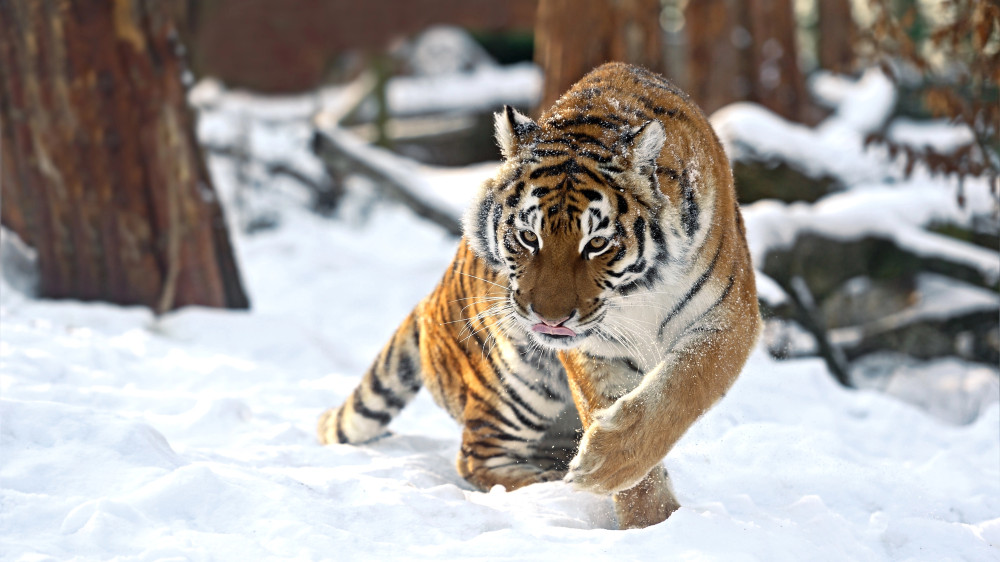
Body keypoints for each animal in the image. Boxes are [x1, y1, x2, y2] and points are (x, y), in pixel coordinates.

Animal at [317, 62, 760, 529]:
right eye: (528, 237)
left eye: (596, 244)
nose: (549, 319)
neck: (639, 290)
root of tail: (428, 303)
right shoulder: (593, 349)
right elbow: (614, 413)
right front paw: (643, 515)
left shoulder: (730, 316)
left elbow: (682, 388)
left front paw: (611, 473)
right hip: (517, 378)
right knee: (475, 456)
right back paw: (548, 488)